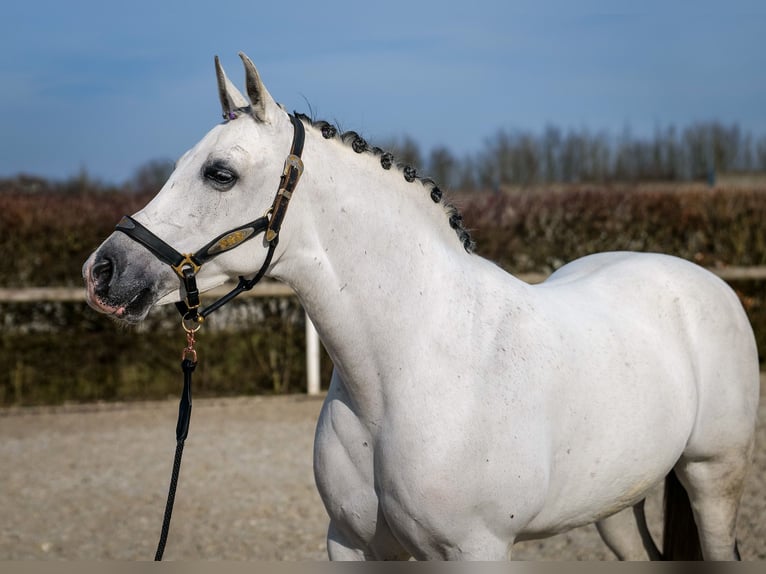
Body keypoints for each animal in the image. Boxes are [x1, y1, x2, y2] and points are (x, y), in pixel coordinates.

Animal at [85, 53, 760, 560]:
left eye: (220, 173)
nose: (104, 271)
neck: (406, 370)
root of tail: (705, 281)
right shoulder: (353, 546)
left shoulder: (476, 550)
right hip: (617, 505)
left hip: (711, 478)